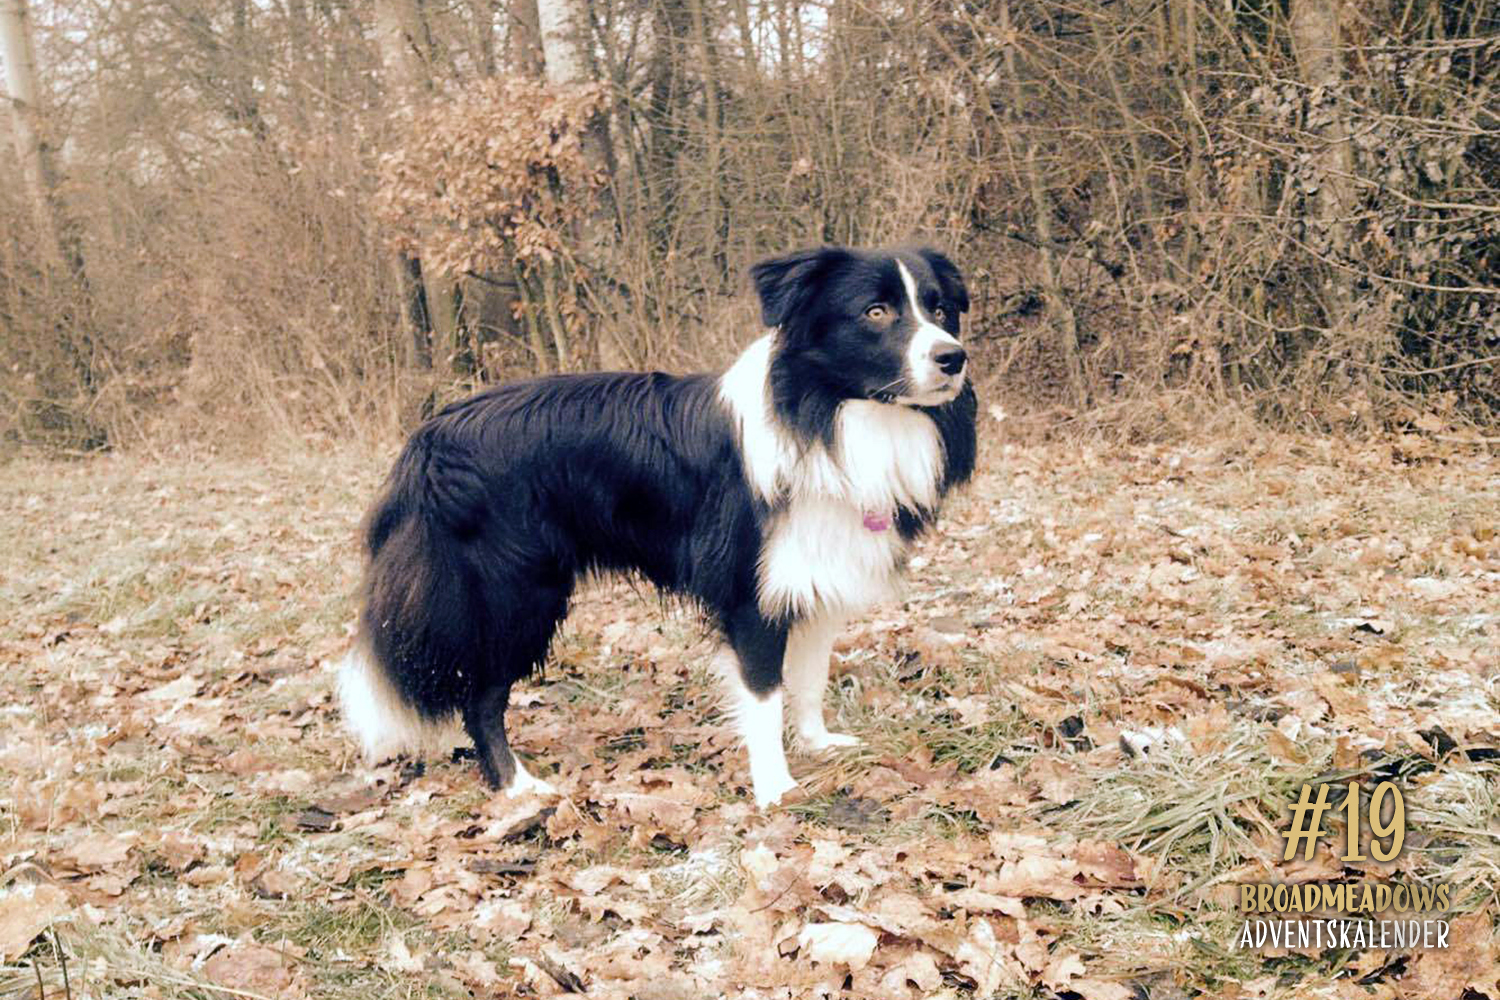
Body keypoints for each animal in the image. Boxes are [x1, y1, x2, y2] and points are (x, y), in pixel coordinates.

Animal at [339, 245, 972, 809]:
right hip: (516, 593)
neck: (828, 413)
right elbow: (765, 695)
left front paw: (818, 743)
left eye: (940, 309)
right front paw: (775, 790)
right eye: (875, 312)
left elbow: (811, 676)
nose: (954, 357)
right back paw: (516, 785)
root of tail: (428, 440)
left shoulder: (815, 578)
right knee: (482, 696)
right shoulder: (749, 595)